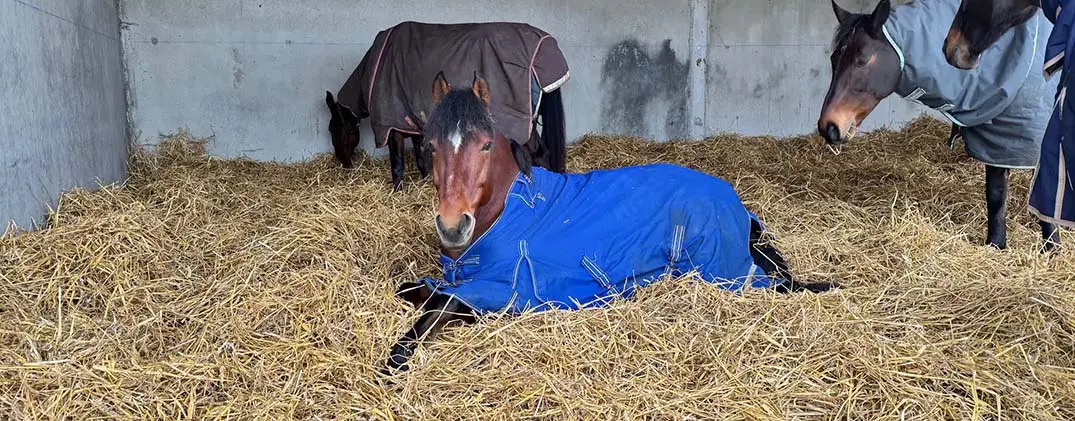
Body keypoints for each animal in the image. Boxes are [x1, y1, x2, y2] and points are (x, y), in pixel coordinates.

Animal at [324, 21, 570, 191]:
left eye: (335, 130)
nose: (343, 163)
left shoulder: (391, 126)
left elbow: (397, 163)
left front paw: (397, 191)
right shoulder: (413, 121)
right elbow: (420, 157)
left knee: (540, 155)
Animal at [380, 71, 838, 375]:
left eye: (486, 145)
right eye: (431, 146)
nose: (452, 225)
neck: (510, 211)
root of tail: (734, 203)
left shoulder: (501, 294)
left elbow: (431, 315)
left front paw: (395, 362)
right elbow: (411, 290)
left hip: (722, 271)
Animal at [817, 0, 1061, 252]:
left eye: (862, 59)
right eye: (833, 59)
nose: (829, 126)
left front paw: (1051, 246)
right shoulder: (996, 142)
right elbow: (995, 194)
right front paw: (996, 245)